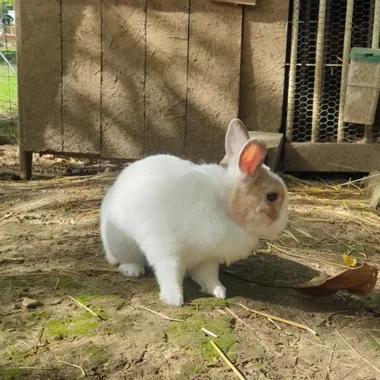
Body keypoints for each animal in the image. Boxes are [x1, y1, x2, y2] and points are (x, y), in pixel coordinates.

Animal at [101, 119, 288, 306]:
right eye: (272, 196)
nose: (284, 221)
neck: (224, 205)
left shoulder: (208, 258)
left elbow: (209, 276)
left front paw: (219, 291)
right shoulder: (168, 254)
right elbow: (170, 276)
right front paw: (175, 300)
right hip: (123, 244)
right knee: (129, 259)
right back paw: (132, 270)